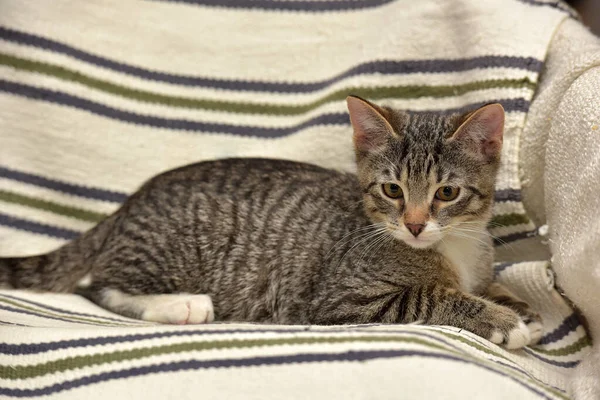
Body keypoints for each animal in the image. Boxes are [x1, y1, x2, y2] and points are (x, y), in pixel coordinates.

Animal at [0, 97, 540, 350]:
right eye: (392, 191)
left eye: (446, 193)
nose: (413, 226)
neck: (455, 246)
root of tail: (133, 200)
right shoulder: (344, 298)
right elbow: (431, 296)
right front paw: (501, 321)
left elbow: (487, 286)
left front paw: (515, 304)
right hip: (167, 249)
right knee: (102, 287)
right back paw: (182, 305)